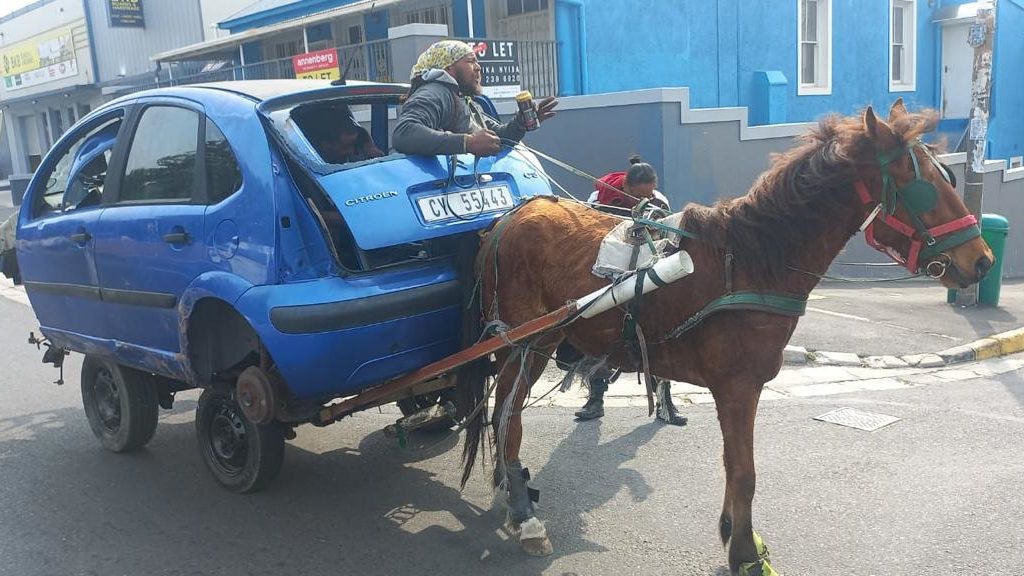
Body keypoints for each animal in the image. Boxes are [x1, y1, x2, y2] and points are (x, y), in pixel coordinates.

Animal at [460, 100, 995, 569]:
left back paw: (515, 486)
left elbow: (734, 467)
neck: (754, 261)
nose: (982, 261)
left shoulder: (738, 389)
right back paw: (525, 514)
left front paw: (735, 532)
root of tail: (508, 219)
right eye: (921, 184)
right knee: (507, 417)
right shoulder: (738, 387)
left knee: (504, 414)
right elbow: (744, 472)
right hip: (527, 345)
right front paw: (744, 552)